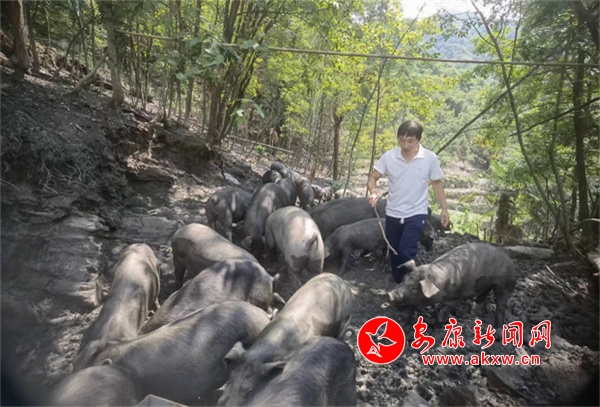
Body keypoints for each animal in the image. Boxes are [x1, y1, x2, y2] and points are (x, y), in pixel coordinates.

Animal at [388, 243, 517, 333]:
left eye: (415, 288)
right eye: (404, 279)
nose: (390, 294)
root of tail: (509, 259)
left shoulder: (455, 298)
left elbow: (443, 314)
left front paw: (431, 324)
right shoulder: (414, 299)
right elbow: (409, 310)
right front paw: (400, 321)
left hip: (506, 283)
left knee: (501, 305)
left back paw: (498, 330)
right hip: (488, 283)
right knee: (483, 293)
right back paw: (474, 311)